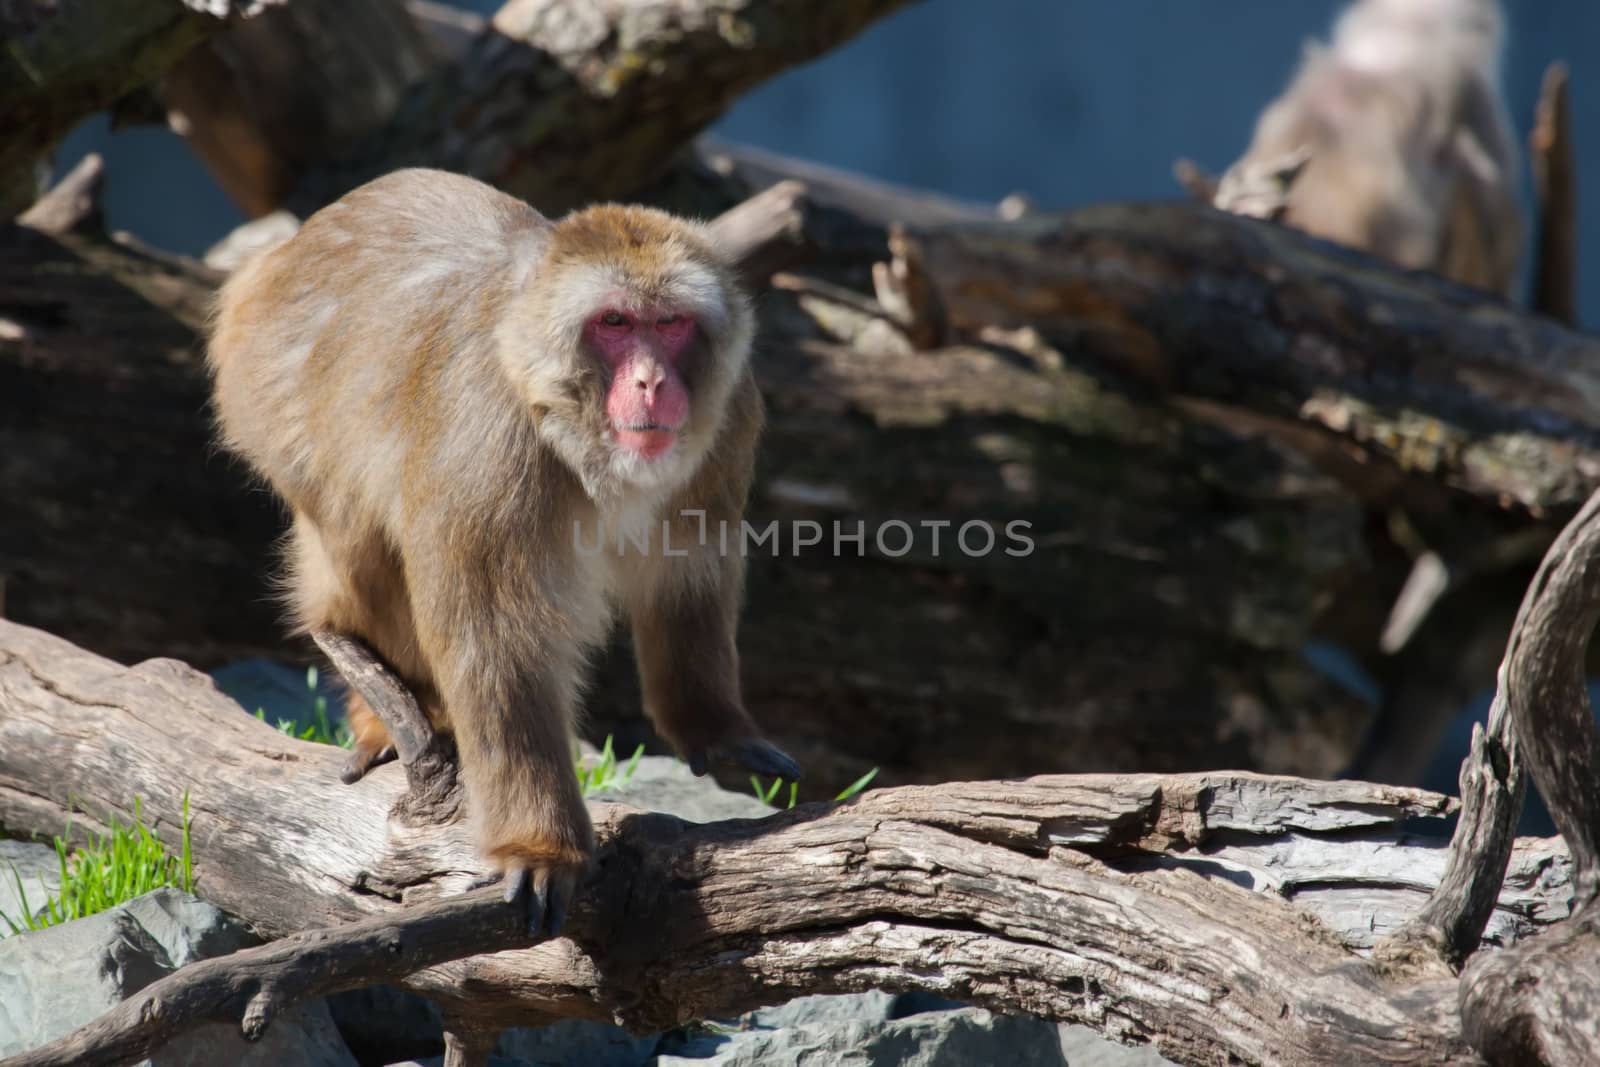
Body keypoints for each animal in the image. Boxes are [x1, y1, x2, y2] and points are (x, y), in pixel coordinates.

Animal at [209, 168, 800, 934]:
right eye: (614, 324)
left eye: (670, 324)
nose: (652, 382)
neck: (561, 415)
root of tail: (283, 255)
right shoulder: (490, 441)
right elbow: (496, 637)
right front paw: (540, 847)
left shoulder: (727, 417)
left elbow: (690, 573)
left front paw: (711, 724)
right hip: (270, 400)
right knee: (358, 544)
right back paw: (365, 673)